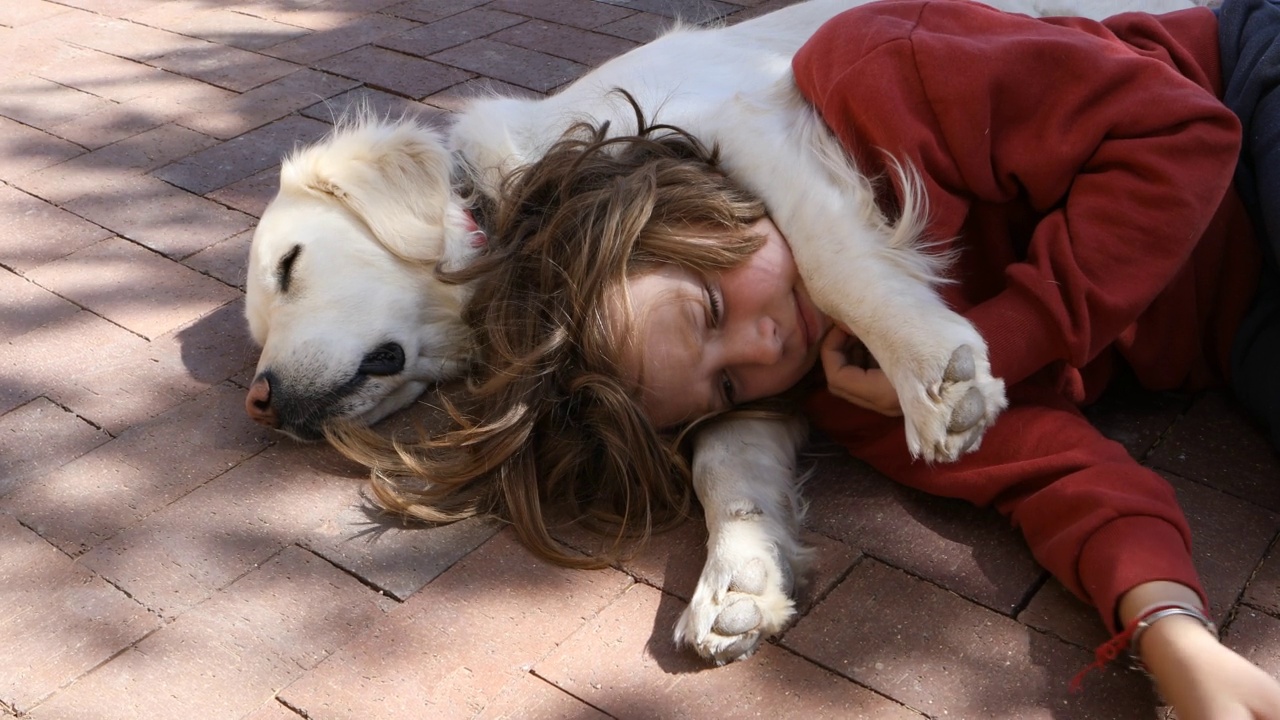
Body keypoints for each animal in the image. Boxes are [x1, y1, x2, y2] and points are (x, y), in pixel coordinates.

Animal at [244, 0, 1203, 666]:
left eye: (290, 264)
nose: (261, 400)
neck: (526, 196)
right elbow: (726, 460)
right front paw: (742, 575)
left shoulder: (744, 123)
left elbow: (835, 260)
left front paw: (933, 370)